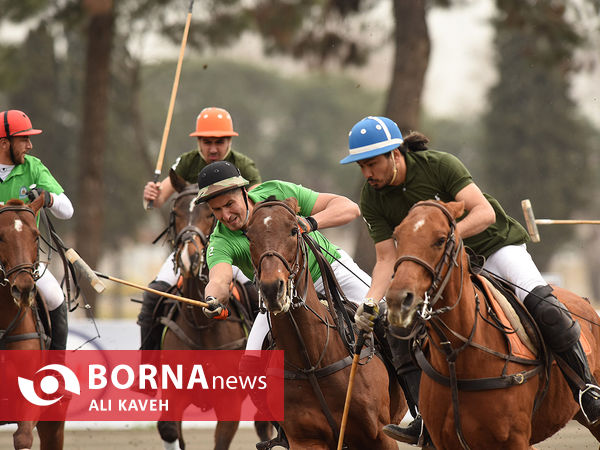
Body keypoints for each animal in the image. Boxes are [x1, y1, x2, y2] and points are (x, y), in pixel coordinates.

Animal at [156, 170, 270, 450]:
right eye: (175, 212)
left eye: (210, 214)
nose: (189, 257)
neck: (201, 326)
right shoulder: (174, 394)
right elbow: (168, 428)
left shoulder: (229, 403)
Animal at [245, 197, 408, 450]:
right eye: (249, 236)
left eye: (294, 230)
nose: (272, 290)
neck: (312, 363)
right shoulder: (305, 440)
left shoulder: (380, 436)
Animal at [384, 200, 600, 450]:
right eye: (397, 237)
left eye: (440, 239)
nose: (398, 299)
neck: (457, 357)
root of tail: (586, 303)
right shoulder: (445, 442)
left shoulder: (515, 439)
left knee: (549, 311)